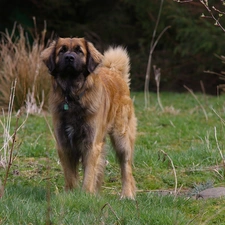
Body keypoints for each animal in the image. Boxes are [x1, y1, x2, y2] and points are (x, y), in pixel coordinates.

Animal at [41, 37, 136, 199]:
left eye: (80, 51)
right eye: (62, 51)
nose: (69, 58)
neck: (72, 96)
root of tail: (114, 71)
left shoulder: (91, 144)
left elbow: (89, 173)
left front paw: (85, 194)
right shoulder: (64, 143)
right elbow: (70, 174)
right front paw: (71, 193)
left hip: (121, 139)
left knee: (126, 168)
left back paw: (127, 194)